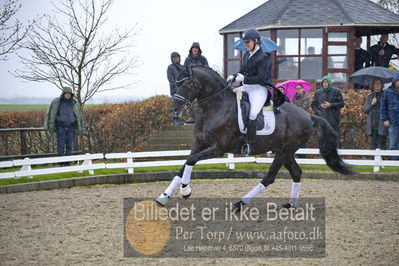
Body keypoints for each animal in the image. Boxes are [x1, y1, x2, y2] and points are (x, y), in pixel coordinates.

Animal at [156, 66, 356, 208]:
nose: (174, 109)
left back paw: (240, 203)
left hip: (284, 151)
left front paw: (186, 190)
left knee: (270, 177)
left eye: (187, 84)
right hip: (285, 151)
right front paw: (163, 197)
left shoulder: (217, 148)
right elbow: (184, 165)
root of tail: (309, 116)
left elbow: (190, 161)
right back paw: (291, 204)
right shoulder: (198, 145)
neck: (215, 108)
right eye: (176, 83)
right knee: (297, 173)